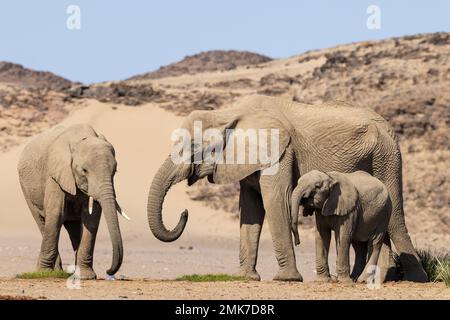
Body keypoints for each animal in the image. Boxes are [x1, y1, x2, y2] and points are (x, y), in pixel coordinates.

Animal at [16, 124, 127, 278]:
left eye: (115, 171)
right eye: (84, 170)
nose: (108, 271)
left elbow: (91, 218)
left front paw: (86, 277)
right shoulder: (55, 174)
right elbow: (56, 214)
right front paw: (43, 273)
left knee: (73, 228)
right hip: (26, 189)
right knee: (43, 222)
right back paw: (55, 271)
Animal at [147, 95, 426, 282]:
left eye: (193, 147)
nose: (184, 212)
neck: (229, 113)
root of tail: (389, 127)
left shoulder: (280, 153)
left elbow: (275, 200)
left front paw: (287, 279)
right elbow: (250, 209)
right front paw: (246, 277)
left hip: (386, 157)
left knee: (396, 220)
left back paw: (415, 280)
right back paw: (382, 278)